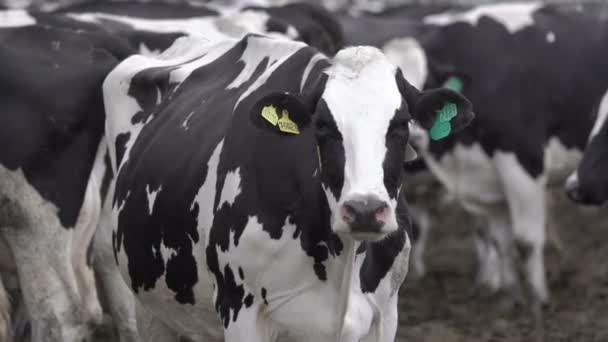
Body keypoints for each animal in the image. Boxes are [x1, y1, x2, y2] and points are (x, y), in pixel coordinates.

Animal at [100, 33, 472, 340]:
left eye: (400, 125)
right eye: (323, 125)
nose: (365, 210)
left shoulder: (384, 315)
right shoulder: (241, 311)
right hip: (149, 306)